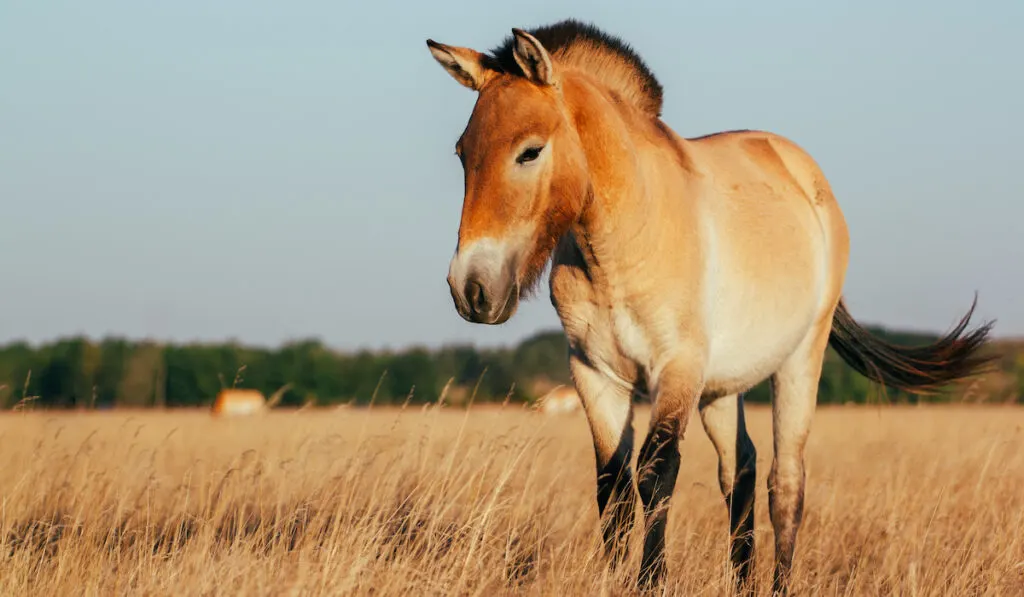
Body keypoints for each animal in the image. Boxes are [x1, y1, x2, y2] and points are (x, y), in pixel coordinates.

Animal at [421, 17, 991, 593]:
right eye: (463, 153)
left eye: (530, 151)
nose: (470, 289)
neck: (621, 242)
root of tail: (807, 178)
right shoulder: (594, 375)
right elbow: (613, 487)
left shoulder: (677, 369)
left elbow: (655, 474)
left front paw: (651, 580)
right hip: (723, 386)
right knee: (740, 471)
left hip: (798, 360)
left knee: (786, 483)